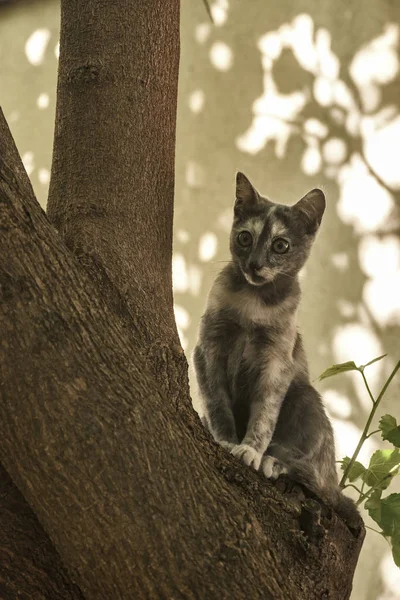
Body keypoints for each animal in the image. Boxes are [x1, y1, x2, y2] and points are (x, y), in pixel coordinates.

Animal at [194, 172, 360, 524]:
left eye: (280, 245)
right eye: (245, 238)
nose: (255, 264)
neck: (253, 302)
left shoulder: (277, 364)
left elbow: (265, 415)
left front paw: (251, 450)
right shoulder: (208, 348)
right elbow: (217, 402)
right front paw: (224, 439)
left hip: (305, 397)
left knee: (318, 481)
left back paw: (273, 462)